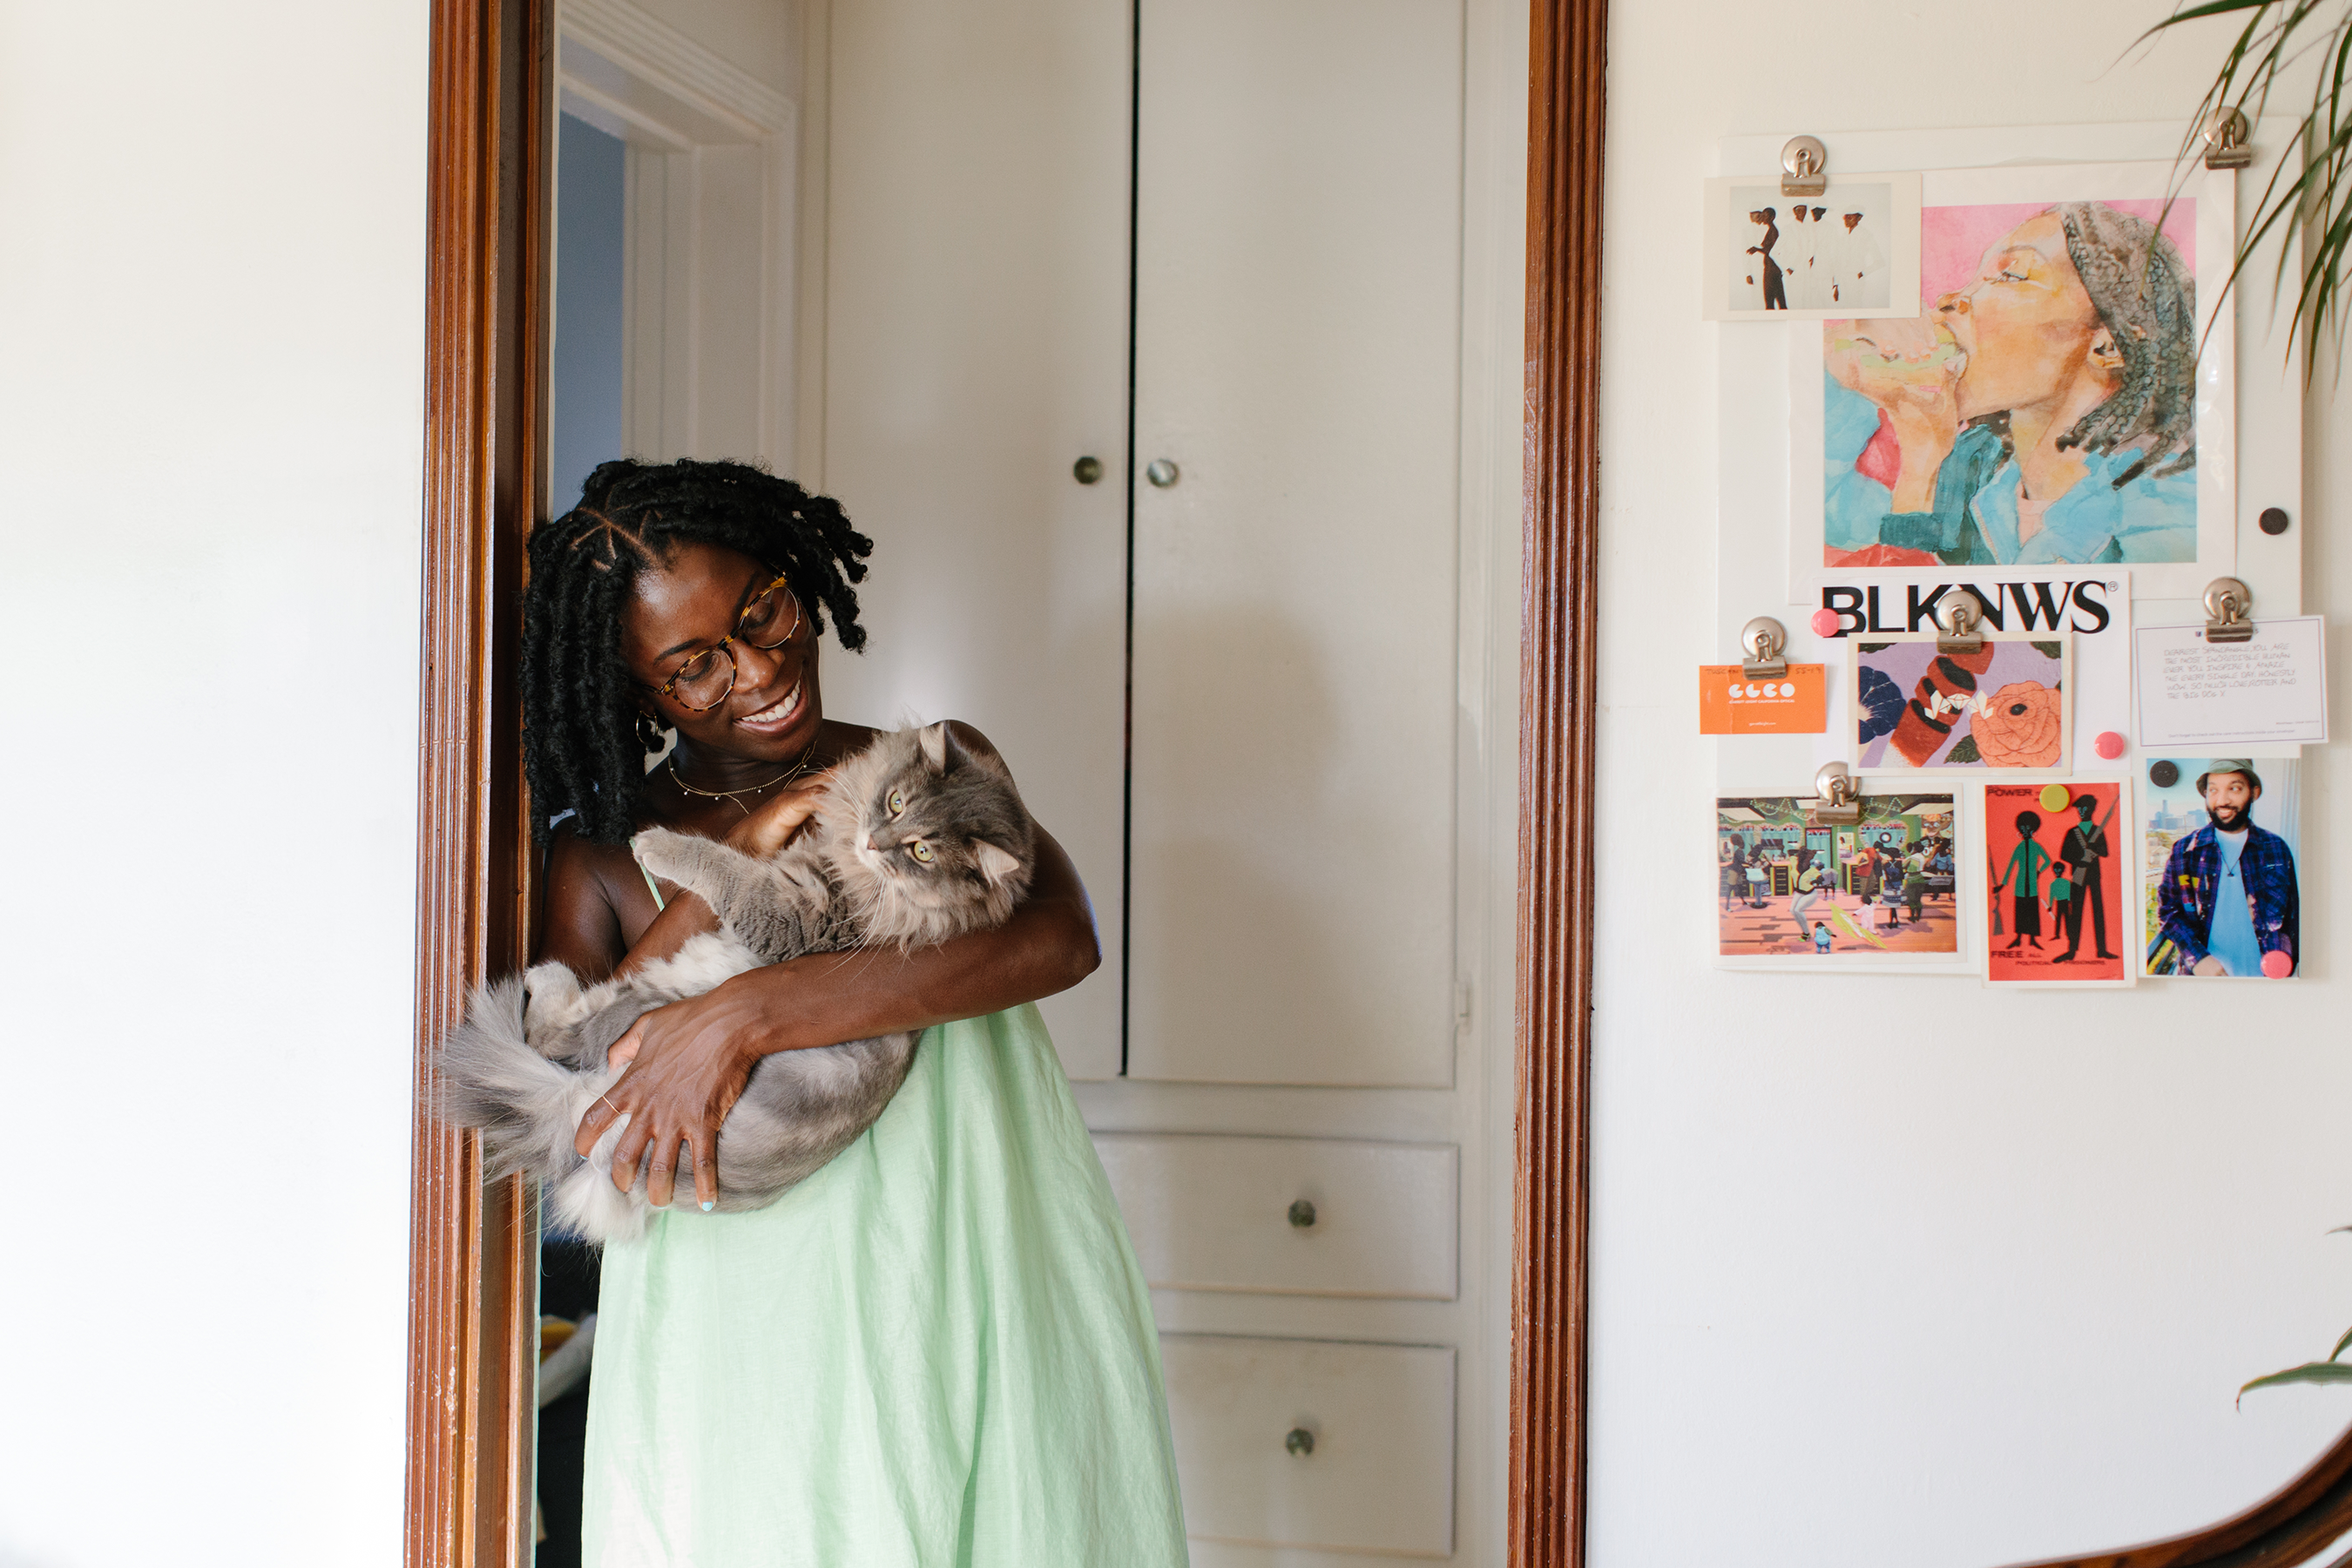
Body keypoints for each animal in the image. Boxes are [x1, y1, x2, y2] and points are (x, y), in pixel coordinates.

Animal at [437, 728, 1035, 1250]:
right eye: (894, 802)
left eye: (921, 852)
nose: (872, 841)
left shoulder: (793, 914)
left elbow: (720, 864)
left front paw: (653, 843)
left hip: (647, 1001)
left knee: (553, 1034)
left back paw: (543, 974)